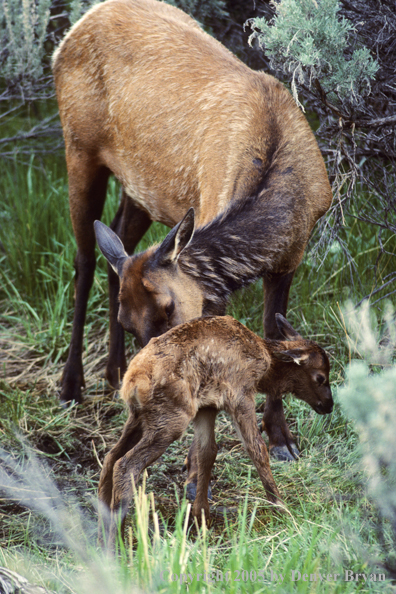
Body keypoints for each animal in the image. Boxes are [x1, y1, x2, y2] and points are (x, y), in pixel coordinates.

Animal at [51, 0, 332, 464]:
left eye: (169, 310)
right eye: (132, 324)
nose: (149, 374)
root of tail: (76, 27)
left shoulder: (291, 256)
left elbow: (276, 335)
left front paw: (281, 437)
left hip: (140, 188)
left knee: (117, 246)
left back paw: (112, 370)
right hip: (78, 147)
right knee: (84, 259)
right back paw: (71, 384)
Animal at [98, 314, 332, 544]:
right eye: (320, 377)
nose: (329, 405)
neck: (264, 368)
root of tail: (133, 381)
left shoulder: (207, 407)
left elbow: (207, 453)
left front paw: (201, 516)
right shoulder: (240, 395)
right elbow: (257, 450)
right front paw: (281, 507)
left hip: (139, 417)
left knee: (110, 457)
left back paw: (101, 527)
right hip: (170, 419)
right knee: (126, 464)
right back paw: (116, 540)